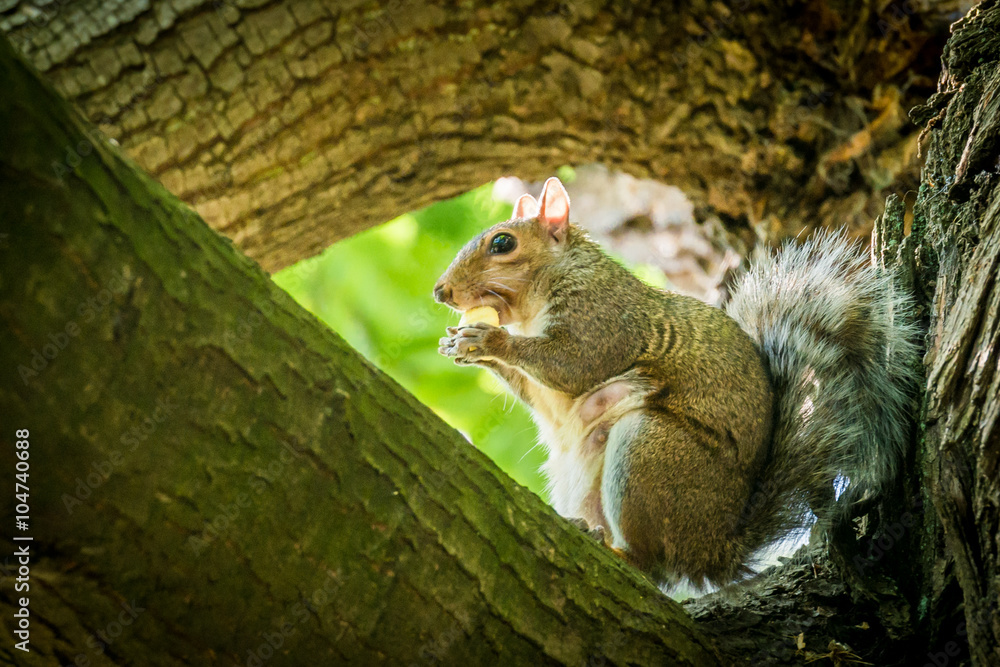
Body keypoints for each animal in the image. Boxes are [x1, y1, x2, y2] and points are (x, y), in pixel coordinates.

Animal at [434, 176, 919, 587]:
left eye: (502, 243)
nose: (441, 291)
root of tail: (715, 550)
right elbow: (539, 393)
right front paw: (459, 343)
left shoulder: (605, 319)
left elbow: (574, 365)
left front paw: (490, 340)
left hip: (650, 452)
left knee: (654, 565)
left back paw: (622, 552)